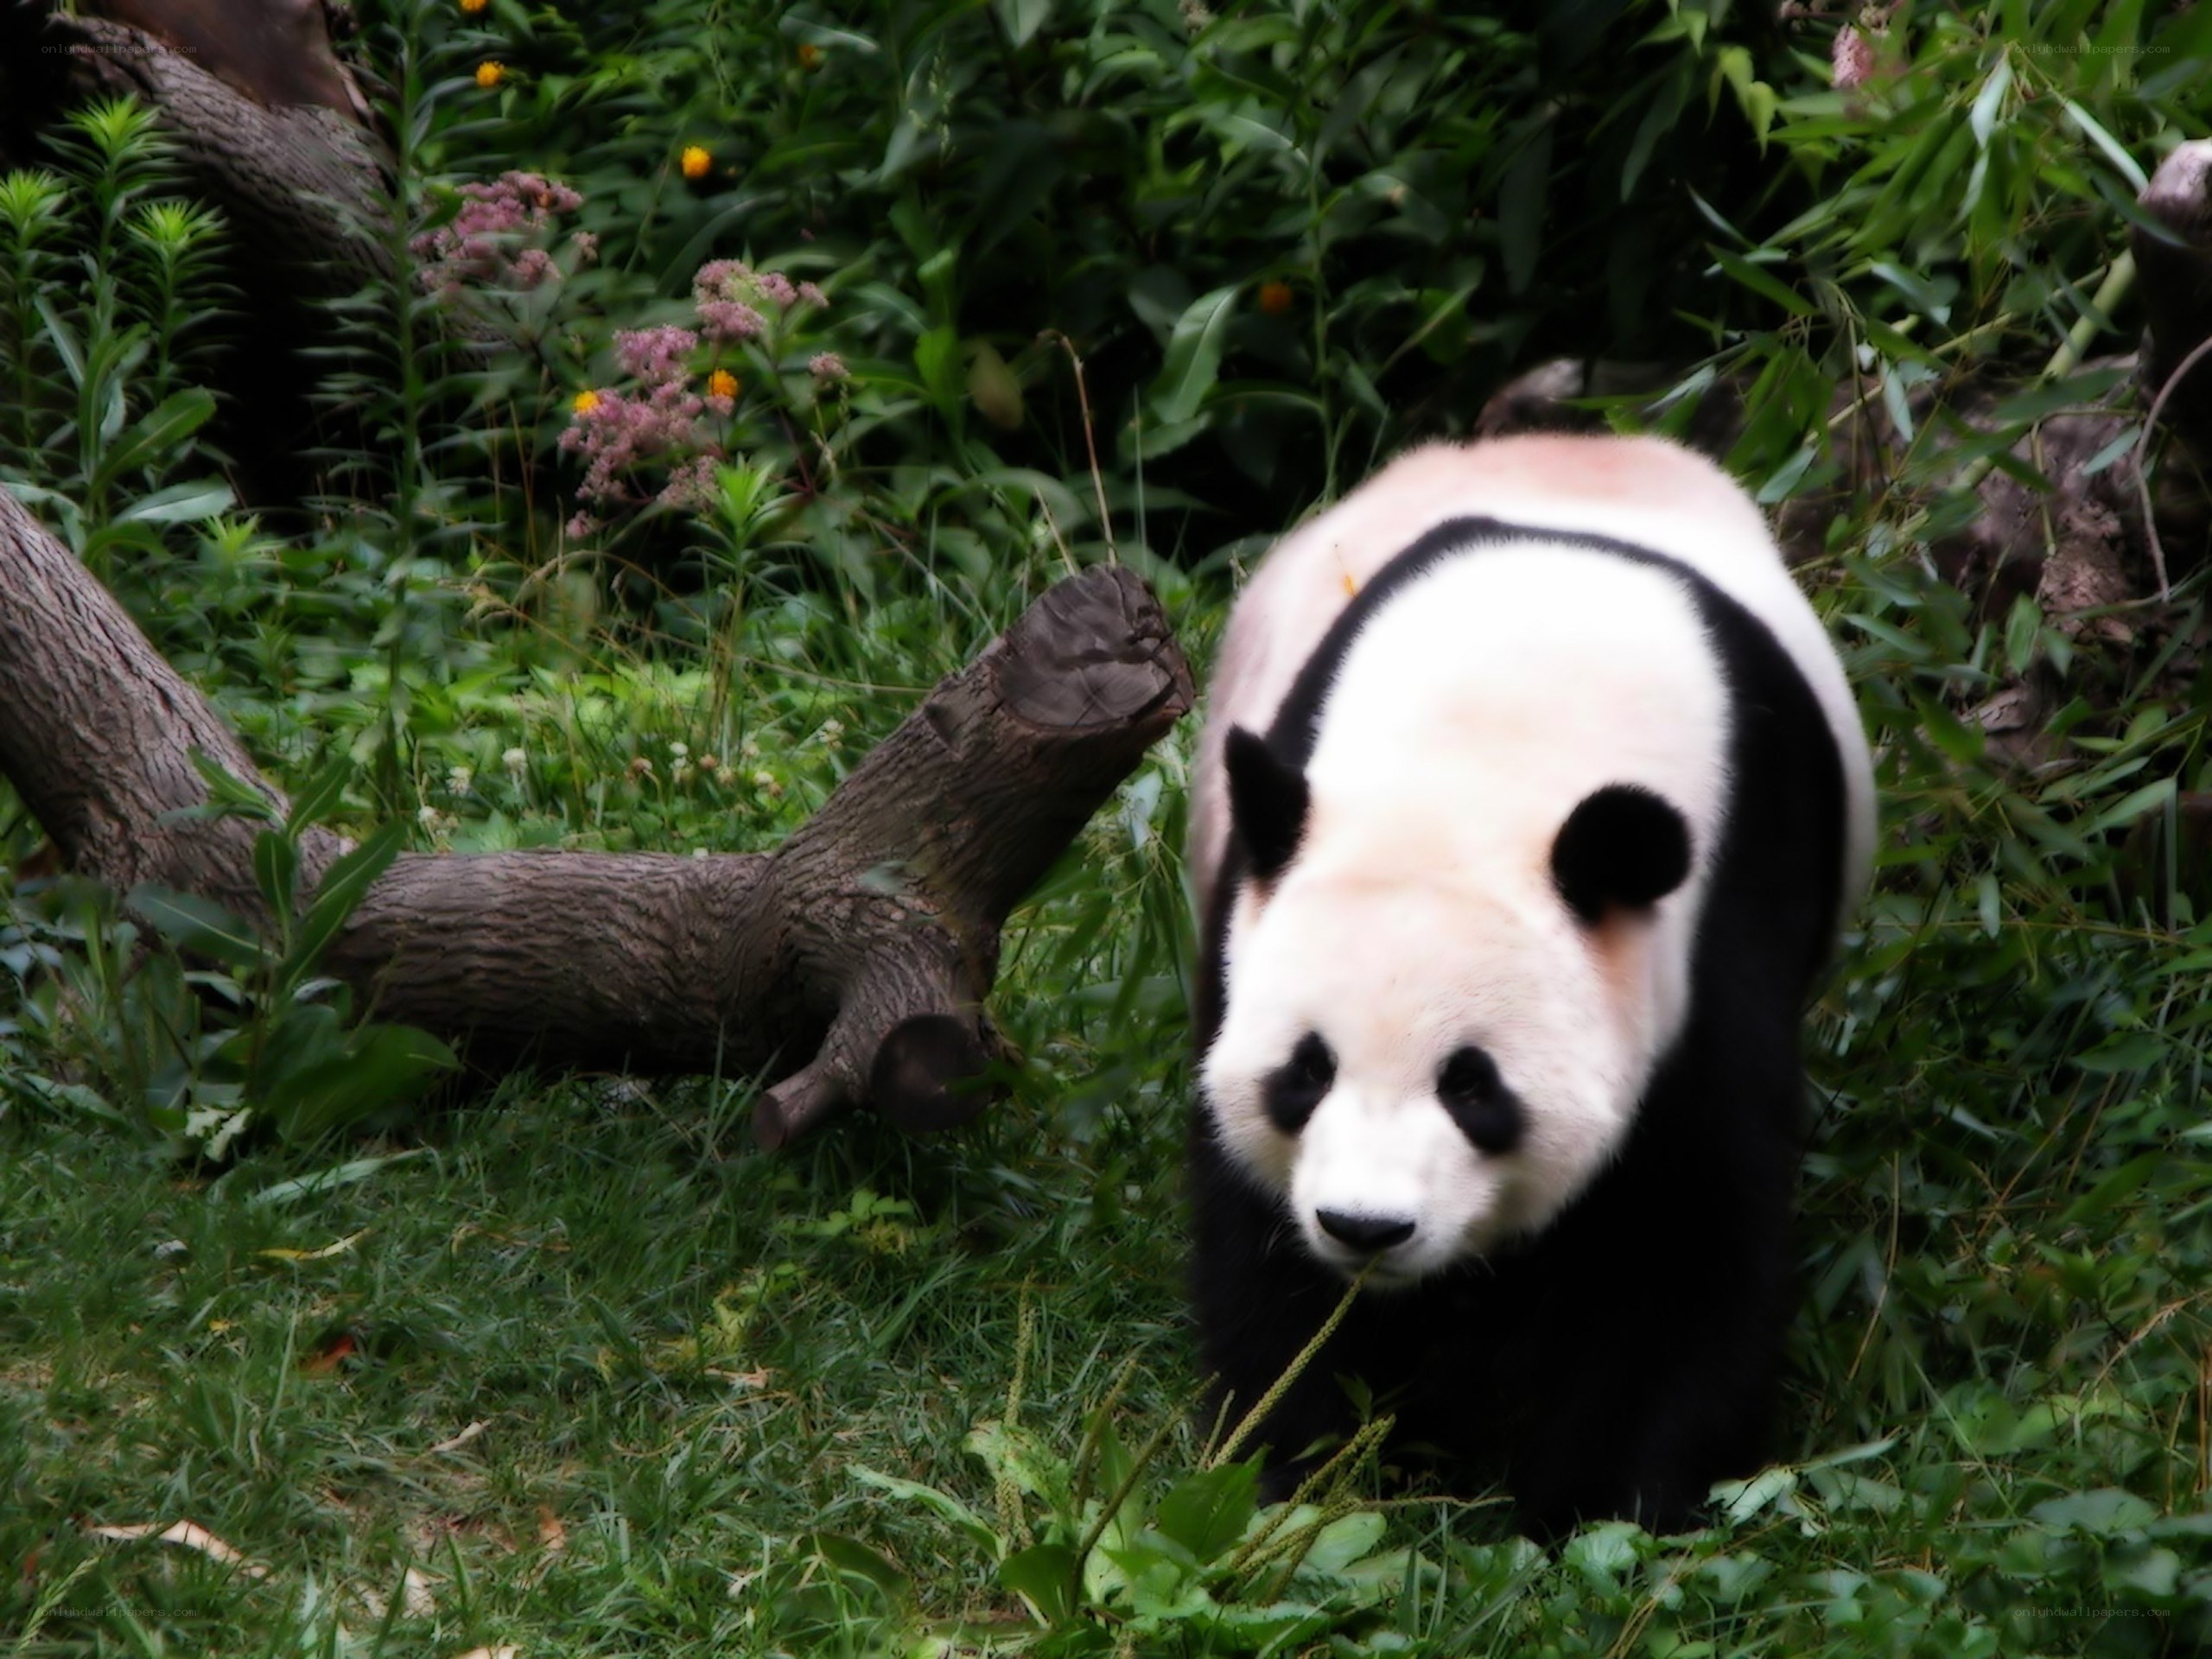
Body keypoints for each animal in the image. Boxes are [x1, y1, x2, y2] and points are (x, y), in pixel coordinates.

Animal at [1187, 433, 1875, 1536]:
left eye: (1472, 1085)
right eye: (1307, 1071)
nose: (1365, 1228)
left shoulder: (1720, 922)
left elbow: (1680, 1240)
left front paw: (1599, 1509)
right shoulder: (1248, 923)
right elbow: (1260, 1239)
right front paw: (1302, 1466)